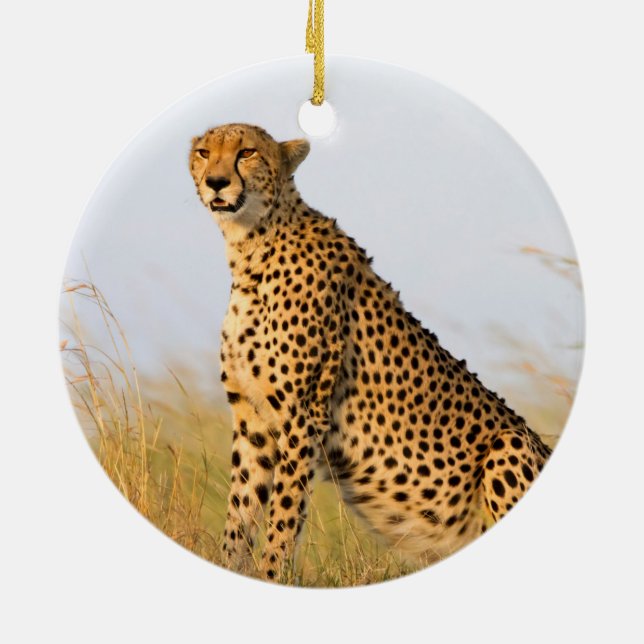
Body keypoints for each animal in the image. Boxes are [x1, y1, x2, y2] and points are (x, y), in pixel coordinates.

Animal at [189, 123, 552, 583]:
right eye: (204, 153)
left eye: (247, 152)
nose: (216, 182)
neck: (251, 245)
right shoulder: (252, 418)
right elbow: (241, 512)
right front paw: (229, 566)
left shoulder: (302, 415)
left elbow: (284, 517)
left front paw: (273, 577)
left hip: (509, 444)